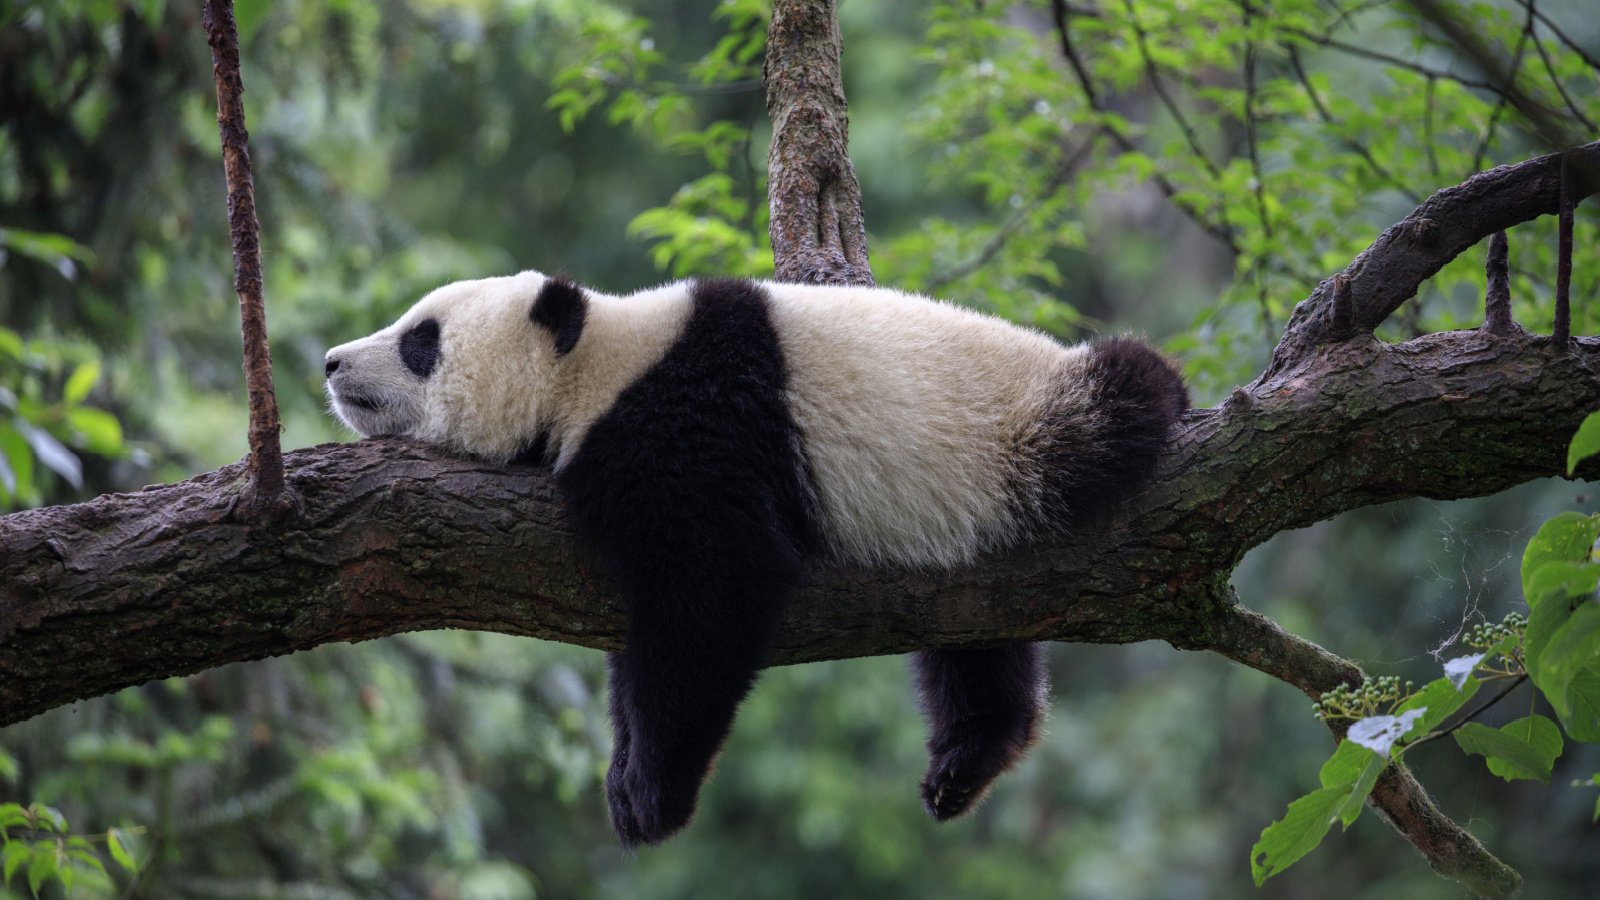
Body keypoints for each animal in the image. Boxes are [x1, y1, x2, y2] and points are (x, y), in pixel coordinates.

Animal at [321, 269, 1190, 845]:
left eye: (421, 341)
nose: (331, 362)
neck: (599, 363)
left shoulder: (695, 425)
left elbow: (711, 594)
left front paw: (650, 794)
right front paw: (625, 771)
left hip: (1022, 431)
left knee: (1118, 399)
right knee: (975, 641)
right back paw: (966, 760)